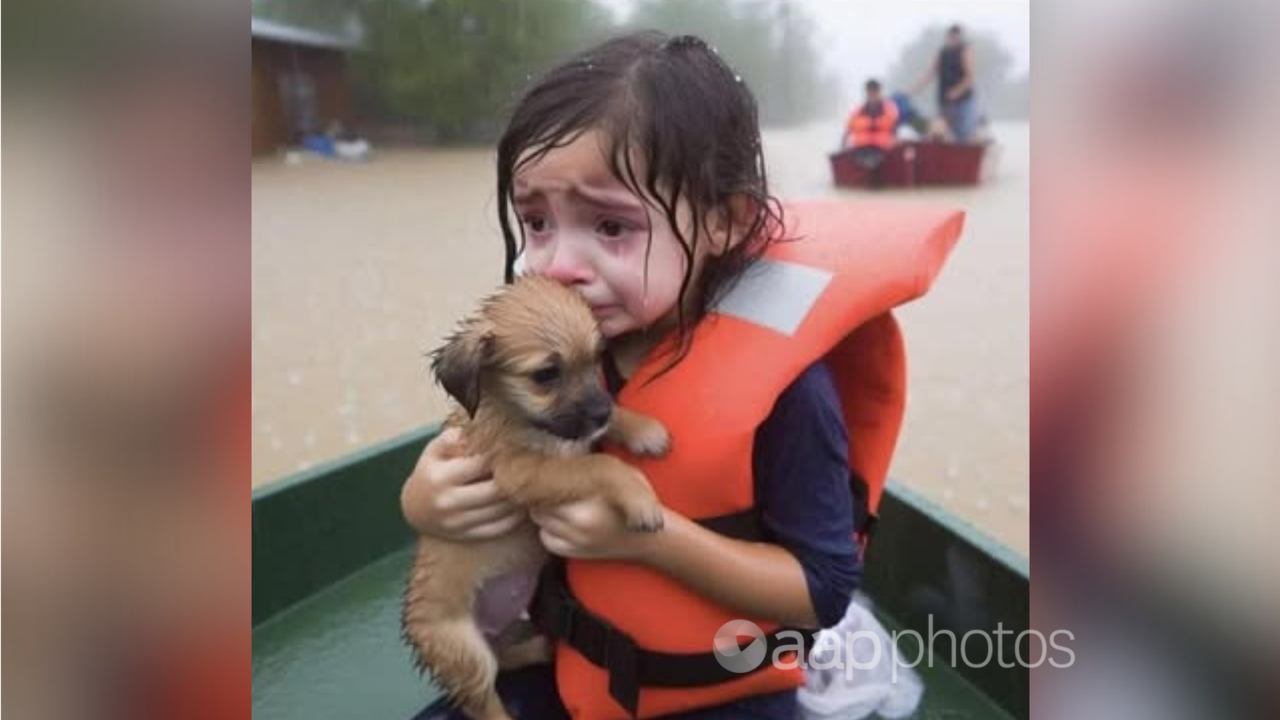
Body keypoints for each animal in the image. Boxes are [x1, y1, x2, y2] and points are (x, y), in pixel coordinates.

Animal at [401, 275, 670, 717]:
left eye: (596, 358)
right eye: (546, 374)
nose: (599, 413)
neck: (514, 414)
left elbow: (602, 432)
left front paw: (642, 428)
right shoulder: (521, 472)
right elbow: (598, 465)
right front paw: (640, 497)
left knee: (505, 658)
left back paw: (542, 647)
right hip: (465, 652)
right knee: (485, 700)